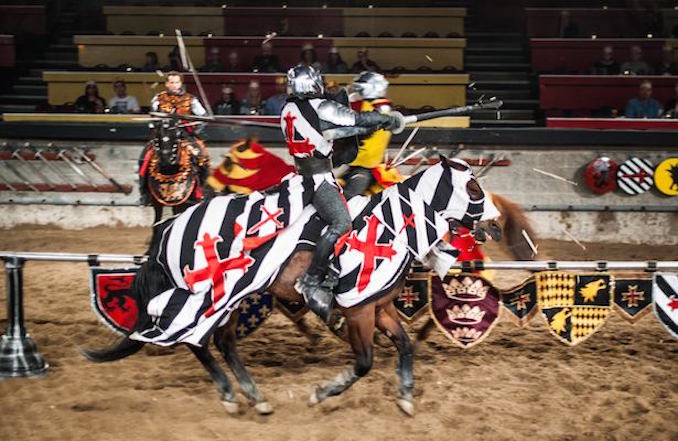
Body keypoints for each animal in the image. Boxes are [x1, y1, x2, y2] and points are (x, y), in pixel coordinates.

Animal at [82, 156, 502, 416]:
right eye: (473, 189)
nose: (496, 225)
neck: (392, 225)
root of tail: (172, 229)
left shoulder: (379, 308)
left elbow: (405, 346)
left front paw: (406, 397)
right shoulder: (359, 311)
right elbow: (364, 363)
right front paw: (322, 393)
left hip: (230, 300)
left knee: (222, 343)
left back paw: (253, 396)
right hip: (207, 297)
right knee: (194, 340)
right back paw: (232, 395)